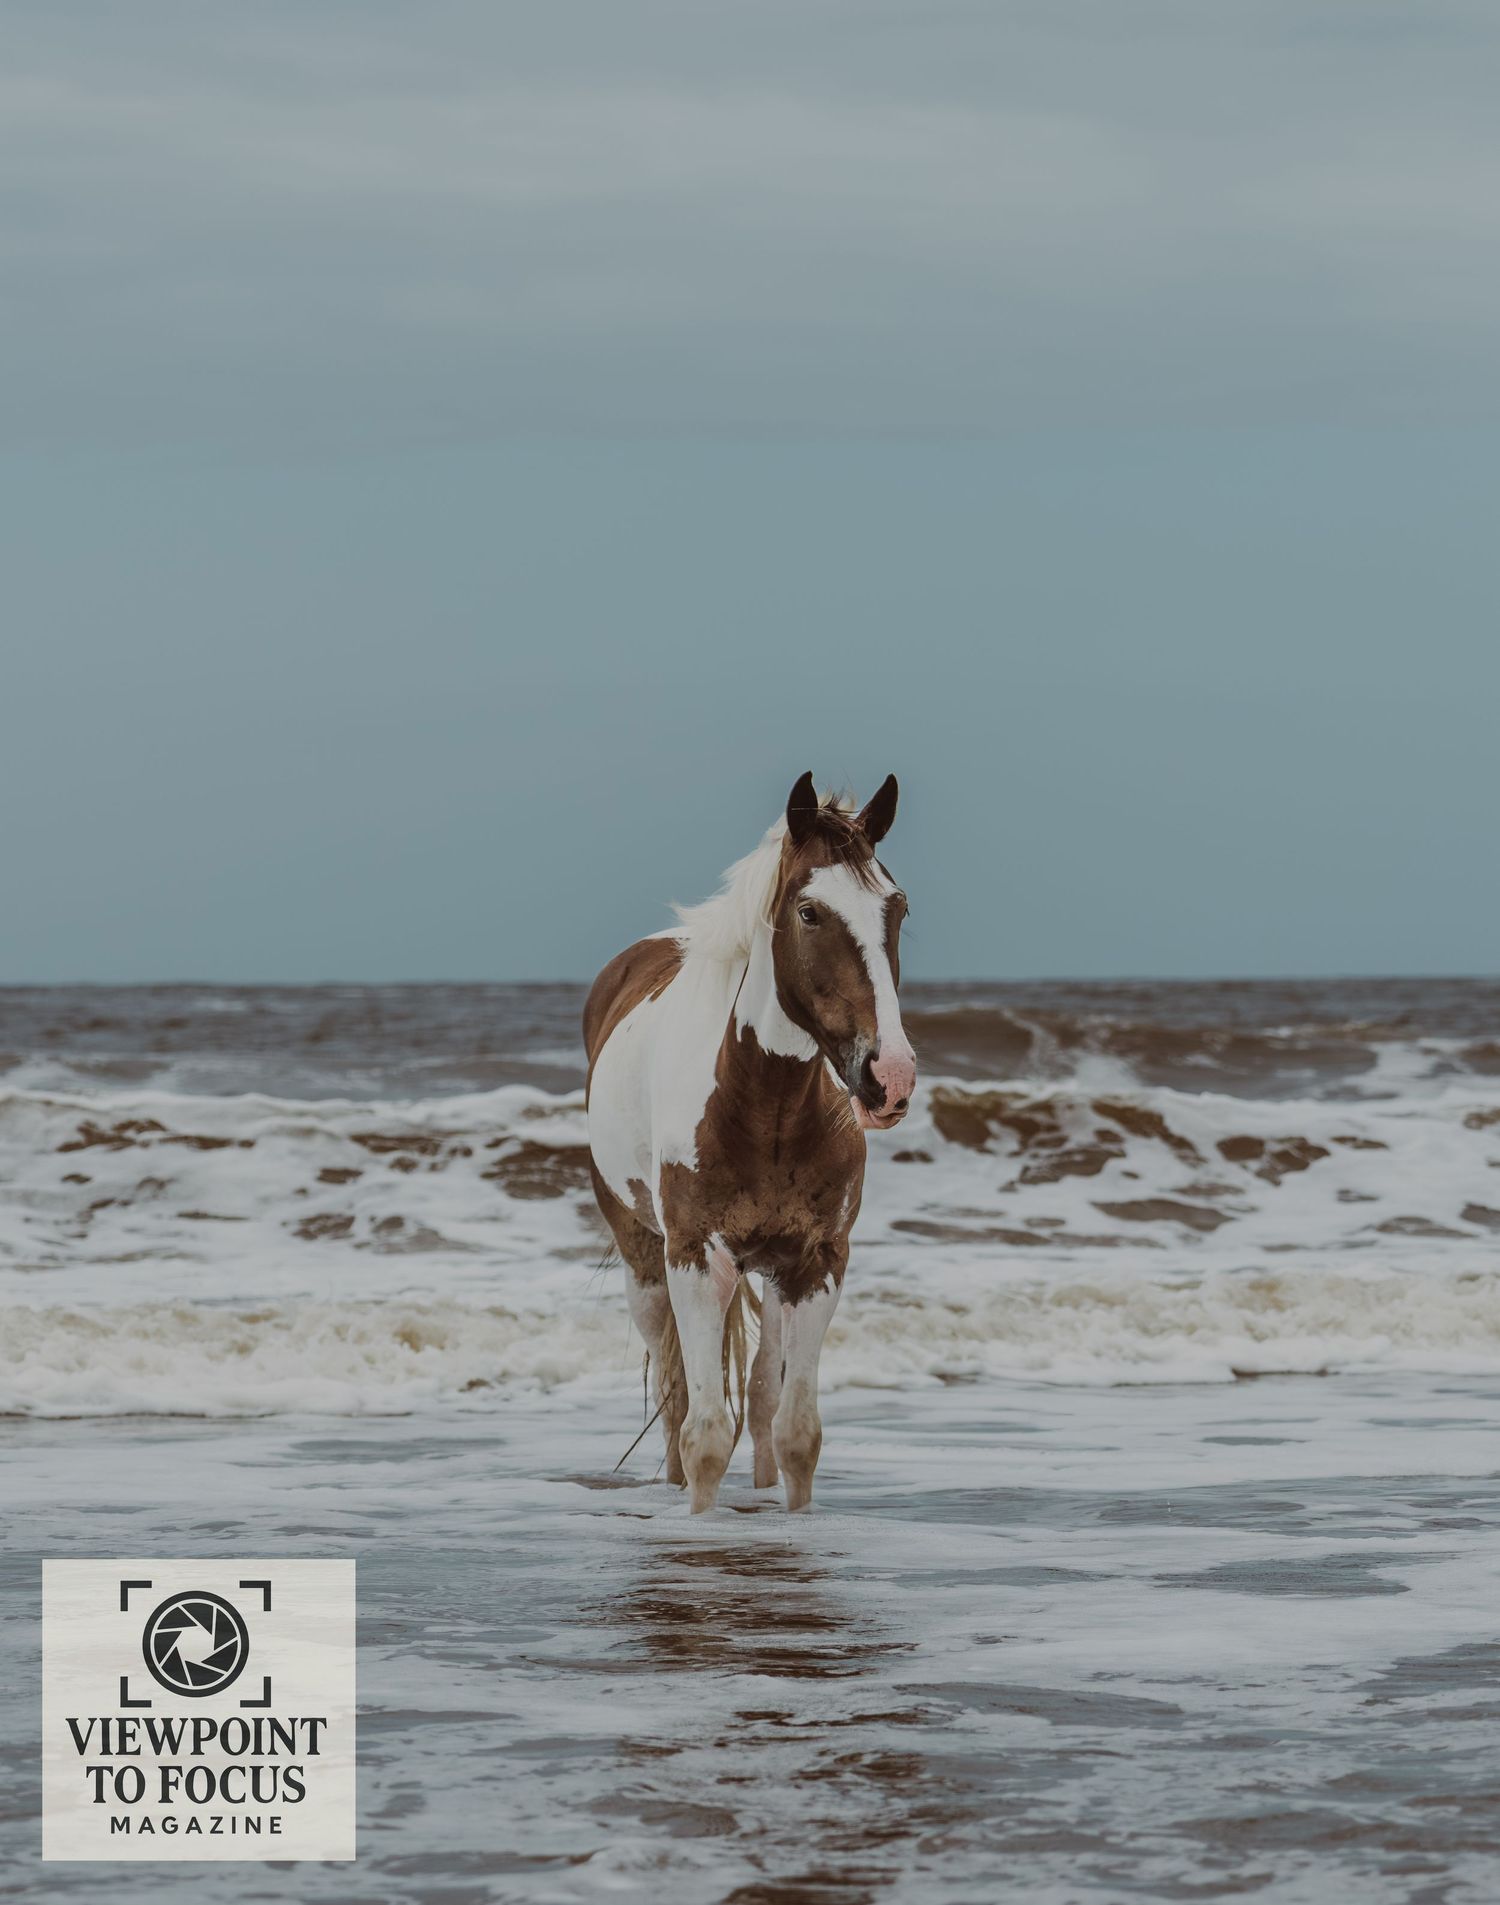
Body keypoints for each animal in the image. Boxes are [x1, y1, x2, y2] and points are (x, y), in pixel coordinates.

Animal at [583, 772, 916, 1512]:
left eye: (898, 907)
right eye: (811, 912)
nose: (890, 1076)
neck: (767, 1108)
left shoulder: (816, 1264)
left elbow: (796, 1432)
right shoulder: (695, 1260)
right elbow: (705, 1435)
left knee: (762, 1397)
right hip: (646, 1264)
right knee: (676, 1396)